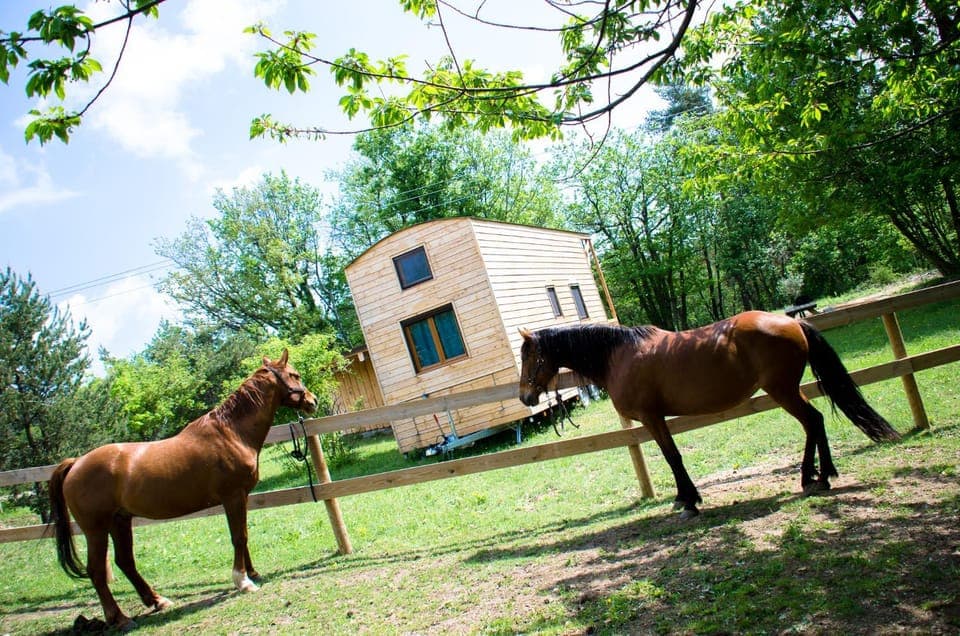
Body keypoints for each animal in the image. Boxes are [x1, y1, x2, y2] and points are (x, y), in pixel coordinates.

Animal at [48, 349, 318, 629]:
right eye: (295, 375)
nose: (313, 401)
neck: (230, 433)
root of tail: (75, 463)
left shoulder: (239, 497)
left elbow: (242, 536)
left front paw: (252, 573)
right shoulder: (232, 496)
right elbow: (239, 537)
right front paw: (243, 581)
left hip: (119, 521)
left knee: (125, 562)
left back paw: (157, 601)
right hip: (96, 529)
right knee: (97, 571)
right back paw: (120, 618)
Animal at [518, 312, 900, 519]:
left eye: (530, 357)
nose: (525, 397)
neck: (618, 355)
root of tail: (791, 323)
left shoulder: (652, 417)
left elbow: (672, 457)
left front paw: (689, 500)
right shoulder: (655, 419)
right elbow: (671, 457)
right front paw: (683, 498)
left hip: (783, 391)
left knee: (812, 421)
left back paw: (815, 477)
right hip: (789, 390)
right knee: (815, 422)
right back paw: (819, 474)